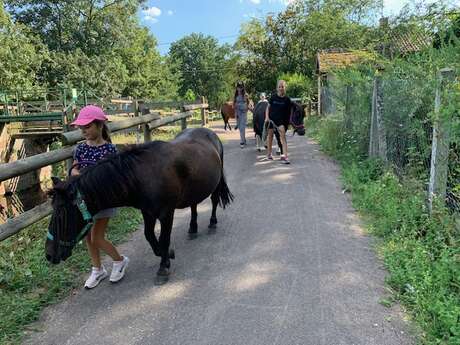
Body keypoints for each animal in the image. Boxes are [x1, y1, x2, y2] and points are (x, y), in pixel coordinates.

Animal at [45, 127, 234, 284]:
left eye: (61, 212)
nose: (49, 254)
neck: (141, 176)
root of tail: (210, 133)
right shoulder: (147, 212)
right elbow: (150, 236)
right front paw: (167, 255)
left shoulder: (166, 213)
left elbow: (164, 239)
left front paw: (163, 267)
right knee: (194, 205)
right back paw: (192, 228)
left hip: (216, 184)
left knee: (214, 201)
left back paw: (212, 223)